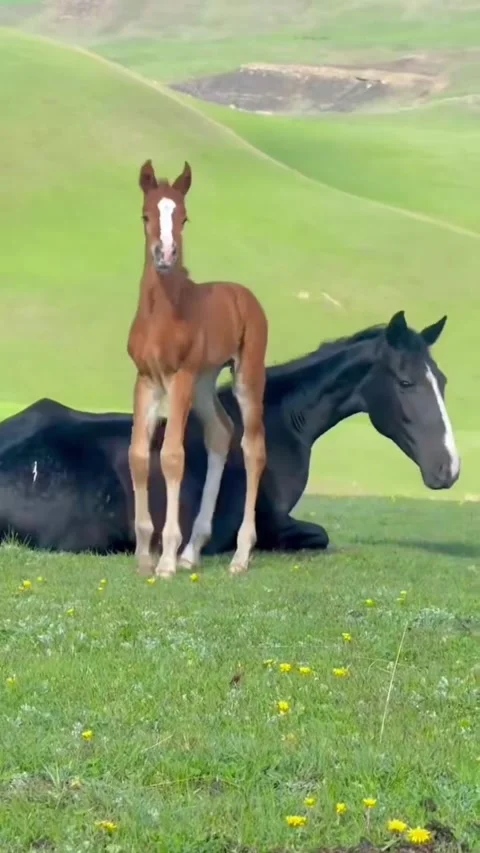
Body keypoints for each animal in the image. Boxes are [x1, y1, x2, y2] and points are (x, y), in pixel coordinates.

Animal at [0, 310, 459, 558]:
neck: (277, 425)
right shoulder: (271, 524)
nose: (449, 468)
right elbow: (319, 535)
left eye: (442, 380)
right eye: (405, 382)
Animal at [127, 159, 268, 578]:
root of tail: (243, 294)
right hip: (205, 382)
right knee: (221, 433)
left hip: (244, 374)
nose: (165, 254)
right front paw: (145, 555)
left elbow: (172, 456)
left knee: (253, 447)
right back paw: (193, 551)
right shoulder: (145, 381)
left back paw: (240, 555)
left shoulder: (180, 378)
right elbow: (139, 455)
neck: (161, 316)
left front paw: (166, 561)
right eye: (146, 214)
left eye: (184, 217)